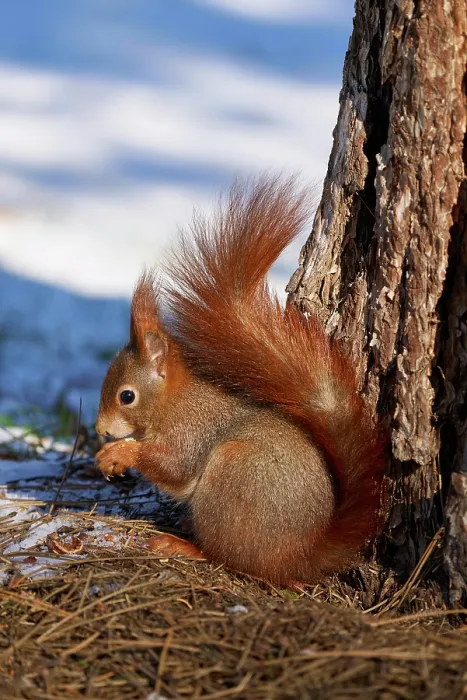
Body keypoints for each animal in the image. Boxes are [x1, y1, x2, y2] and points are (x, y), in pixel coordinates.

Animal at [95, 176, 385, 586]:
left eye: (126, 396)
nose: (101, 429)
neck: (173, 402)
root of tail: (298, 555)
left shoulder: (192, 432)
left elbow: (174, 467)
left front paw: (120, 453)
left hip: (231, 478)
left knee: (228, 558)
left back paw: (184, 546)